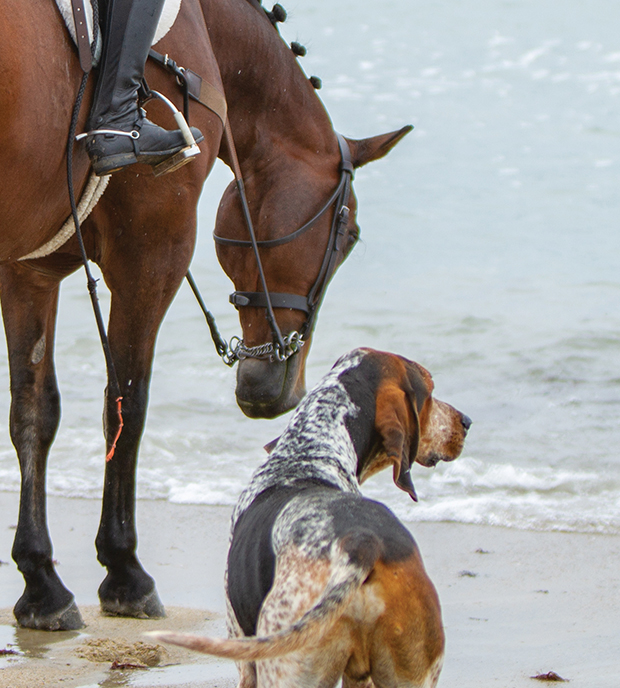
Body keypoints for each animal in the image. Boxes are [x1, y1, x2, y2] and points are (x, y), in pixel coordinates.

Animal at [0, 0, 411, 631]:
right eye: (349, 237)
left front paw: (41, 581)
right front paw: (124, 571)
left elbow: (33, 415)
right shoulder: (153, 252)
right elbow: (127, 406)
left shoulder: (30, 269)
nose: (278, 387)